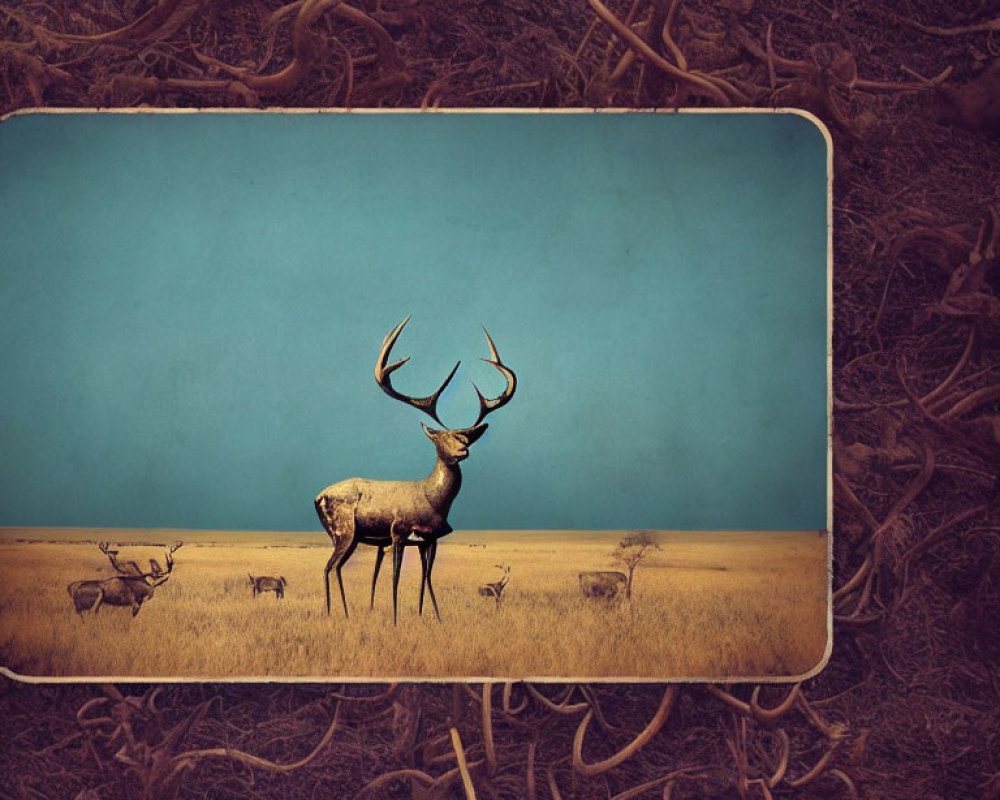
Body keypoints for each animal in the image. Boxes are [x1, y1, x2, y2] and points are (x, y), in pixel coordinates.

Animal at [316, 318, 520, 624]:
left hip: (348, 537)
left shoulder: (429, 539)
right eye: (440, 438)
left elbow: (427, 578)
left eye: (465, 436)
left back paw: (346, 613)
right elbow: (396, 579)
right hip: (345, 531)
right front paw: (396, 620)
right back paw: (332, 614)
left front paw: (434, 616)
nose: (463, 450)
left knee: (336, 567)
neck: (431, 498)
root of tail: (317, 497)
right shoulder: (398, 532)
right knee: (329, 567)